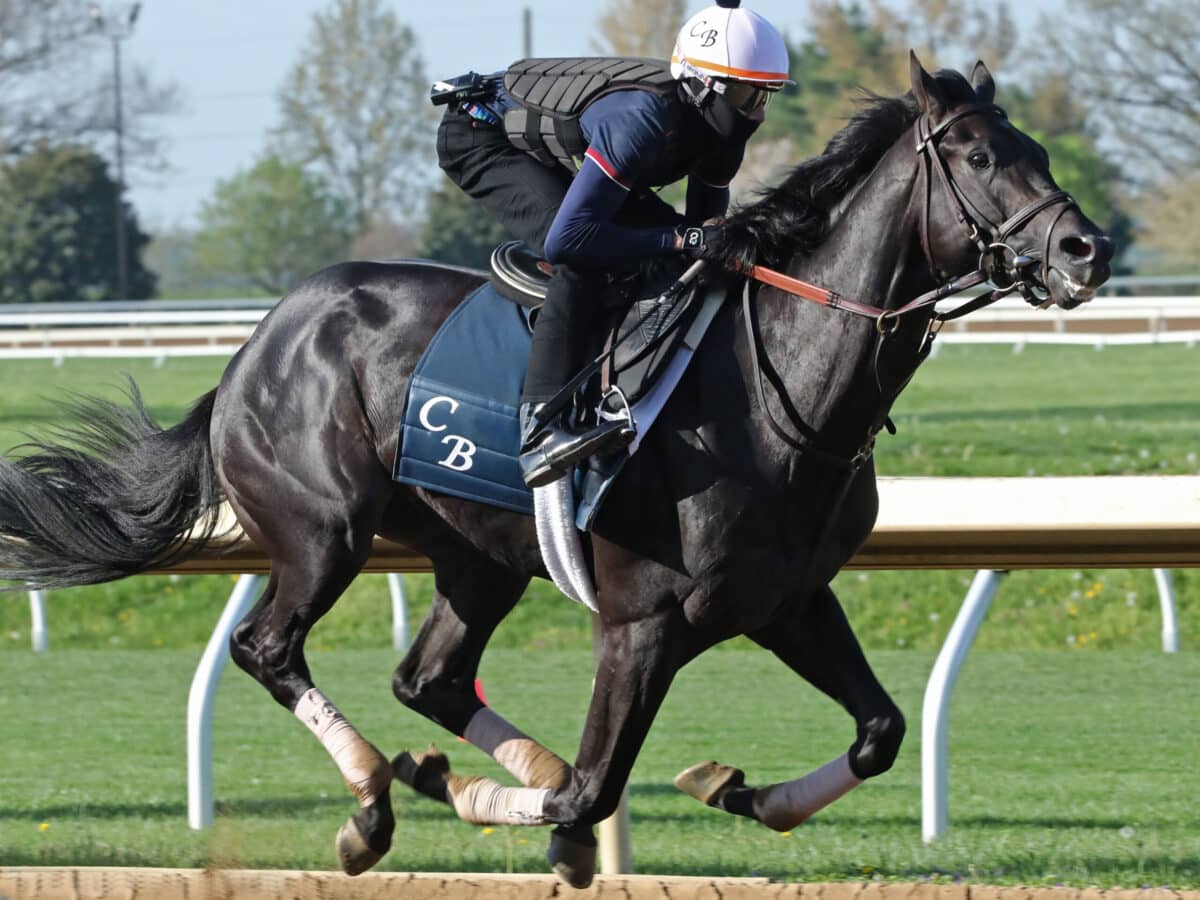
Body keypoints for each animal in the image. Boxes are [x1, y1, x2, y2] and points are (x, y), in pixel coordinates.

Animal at [0, 56, 1108, 888]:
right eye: (978, 154)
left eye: (1041, 152)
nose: (1084, 249)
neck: (779, 387)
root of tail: (249, 352)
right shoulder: (643, 621)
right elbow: (595, 786)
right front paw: (495, 801)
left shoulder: (786, 598)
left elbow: (880, 729)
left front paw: (734, 790)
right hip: (322, 531)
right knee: (269, 650)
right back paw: (371, 803)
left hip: (475, 555)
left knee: (430, 677)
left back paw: (466, 765)